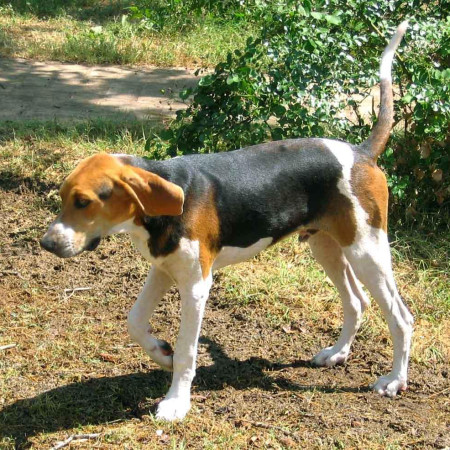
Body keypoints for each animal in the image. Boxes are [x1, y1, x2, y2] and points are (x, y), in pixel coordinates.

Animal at [41, 22, 412, 420]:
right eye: (62, 197)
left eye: (83, 202)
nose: (46, 244)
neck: (155, 212)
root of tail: (361, 153)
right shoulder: (163, 268)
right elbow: (134, 321)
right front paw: (160, 354)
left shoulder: (196, 286)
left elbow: (187, 350)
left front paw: (176, 401)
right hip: (327, 245)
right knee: (357, 302)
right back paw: (338, 353)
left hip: (367, 250)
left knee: (401, 318)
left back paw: (394, 381)